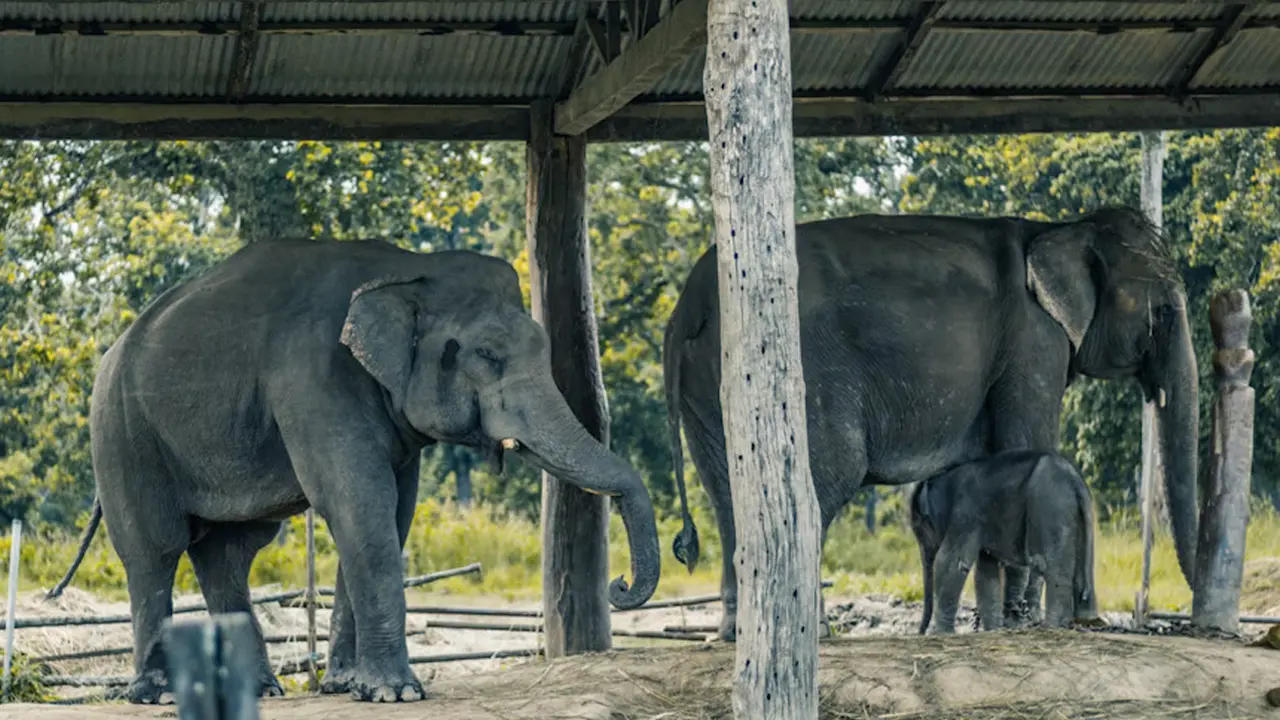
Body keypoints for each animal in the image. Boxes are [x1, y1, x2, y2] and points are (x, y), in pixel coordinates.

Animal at [46, 238, 661, 703]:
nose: (619, 585)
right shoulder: (313, 377)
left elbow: (391, 510)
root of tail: (112, 348)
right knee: (155, 548)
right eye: (487, 356)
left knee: (229, 552)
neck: (408, 270)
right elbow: (357, 501)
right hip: (121, 431)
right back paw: (159, 694)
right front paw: (397, 694)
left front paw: (347, 687)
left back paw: (259, 691)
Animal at [909, 450, 1100, 635]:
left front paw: (941, 634)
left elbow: (952, 562)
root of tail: (1077, 482)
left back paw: (1052, 627)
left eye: (922, 526)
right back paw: (1080, 621)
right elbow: (986, 571)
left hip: (1051, 507)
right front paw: (994, 630)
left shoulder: (965, 514)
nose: (920, 632)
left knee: (1051, 567)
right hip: (1075, 515)